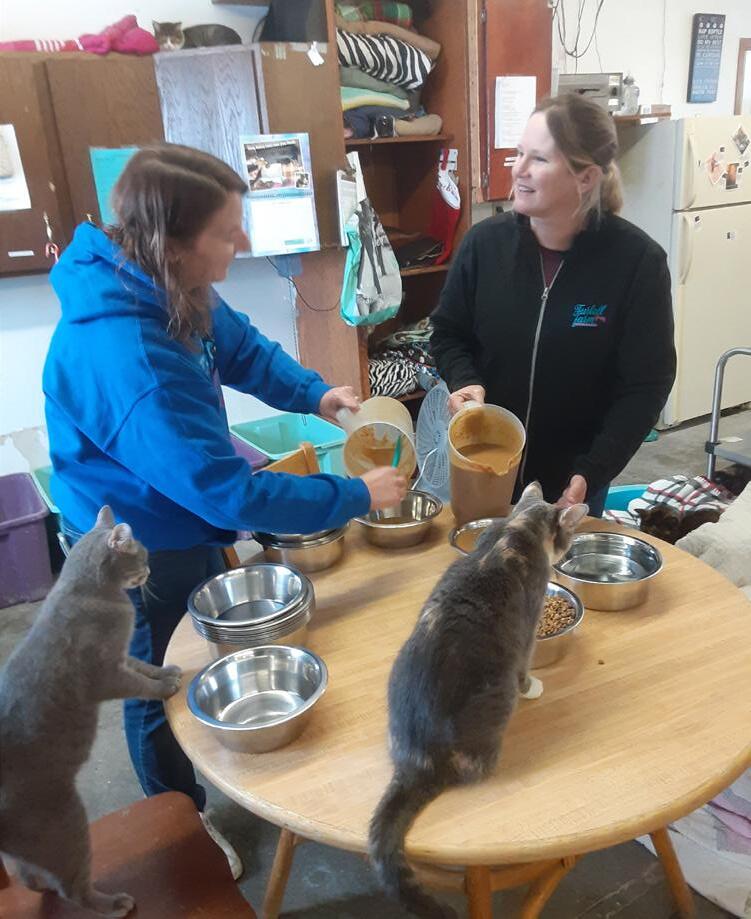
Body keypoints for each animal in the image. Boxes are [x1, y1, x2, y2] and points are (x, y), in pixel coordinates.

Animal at [0, 506, 182, 918]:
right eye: (142, 554)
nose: (150, 569)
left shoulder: (121, 657)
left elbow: (141, 665)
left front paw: (165, 671)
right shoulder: (104, 675)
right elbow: (139, 684)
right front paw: (165, 687)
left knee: (28, 875)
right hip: (65, 823)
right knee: (72, 889)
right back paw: (114, 903)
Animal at [368, 482, 588, 919]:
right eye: (568, 536)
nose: (568, 549)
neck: (518, 527)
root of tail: (419, 761)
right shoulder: (529, 626)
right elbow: (526, 662)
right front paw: (533, 686)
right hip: (497, 698)